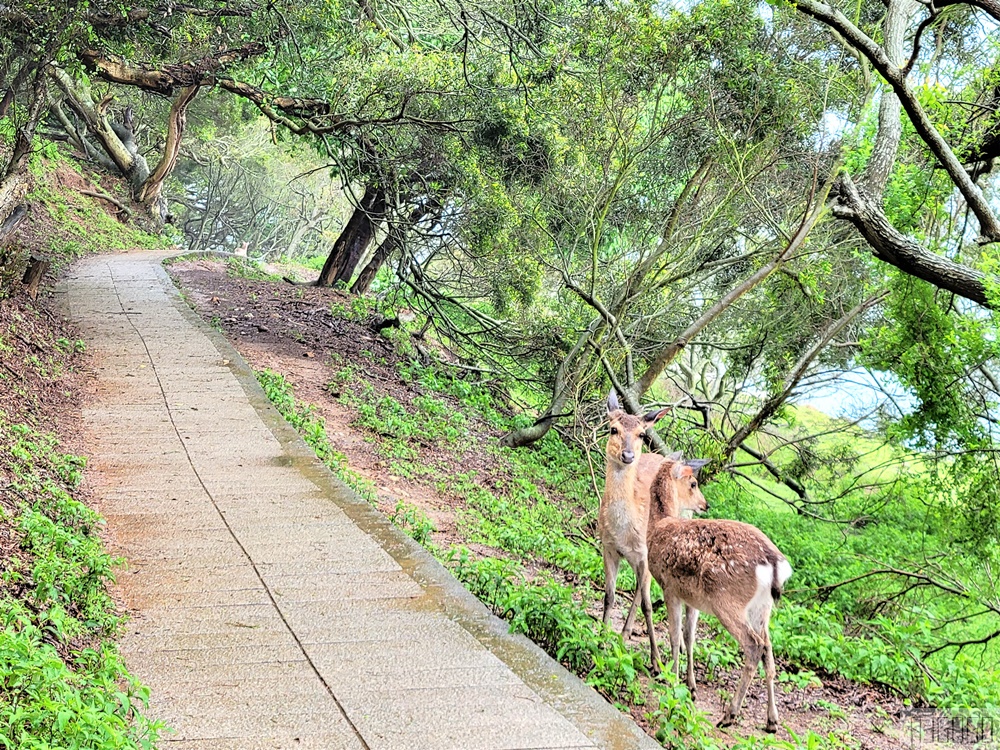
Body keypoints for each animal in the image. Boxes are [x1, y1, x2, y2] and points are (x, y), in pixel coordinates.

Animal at [596, 390, 708, 672]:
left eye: (641, 434)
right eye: (613, 429)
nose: (627, 455)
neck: (624, 531)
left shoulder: (645, 555)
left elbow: (647, 605)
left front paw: (656, 661)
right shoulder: (607, 548)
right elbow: (609, 596)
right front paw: (600, 640)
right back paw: (624, 633)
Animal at [644, 458, 792, 736]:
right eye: (693, 483)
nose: (705, 504)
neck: (658, 526)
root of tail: (775, 564)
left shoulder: (669, 587)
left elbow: (674, 636)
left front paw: (672, 682)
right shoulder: (692, 598)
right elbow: (689, 637)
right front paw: (690, 687)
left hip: (727, 600)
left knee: (754, 645)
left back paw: (729, 715)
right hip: (762, 608)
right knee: (768, 649)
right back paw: (771, 721)